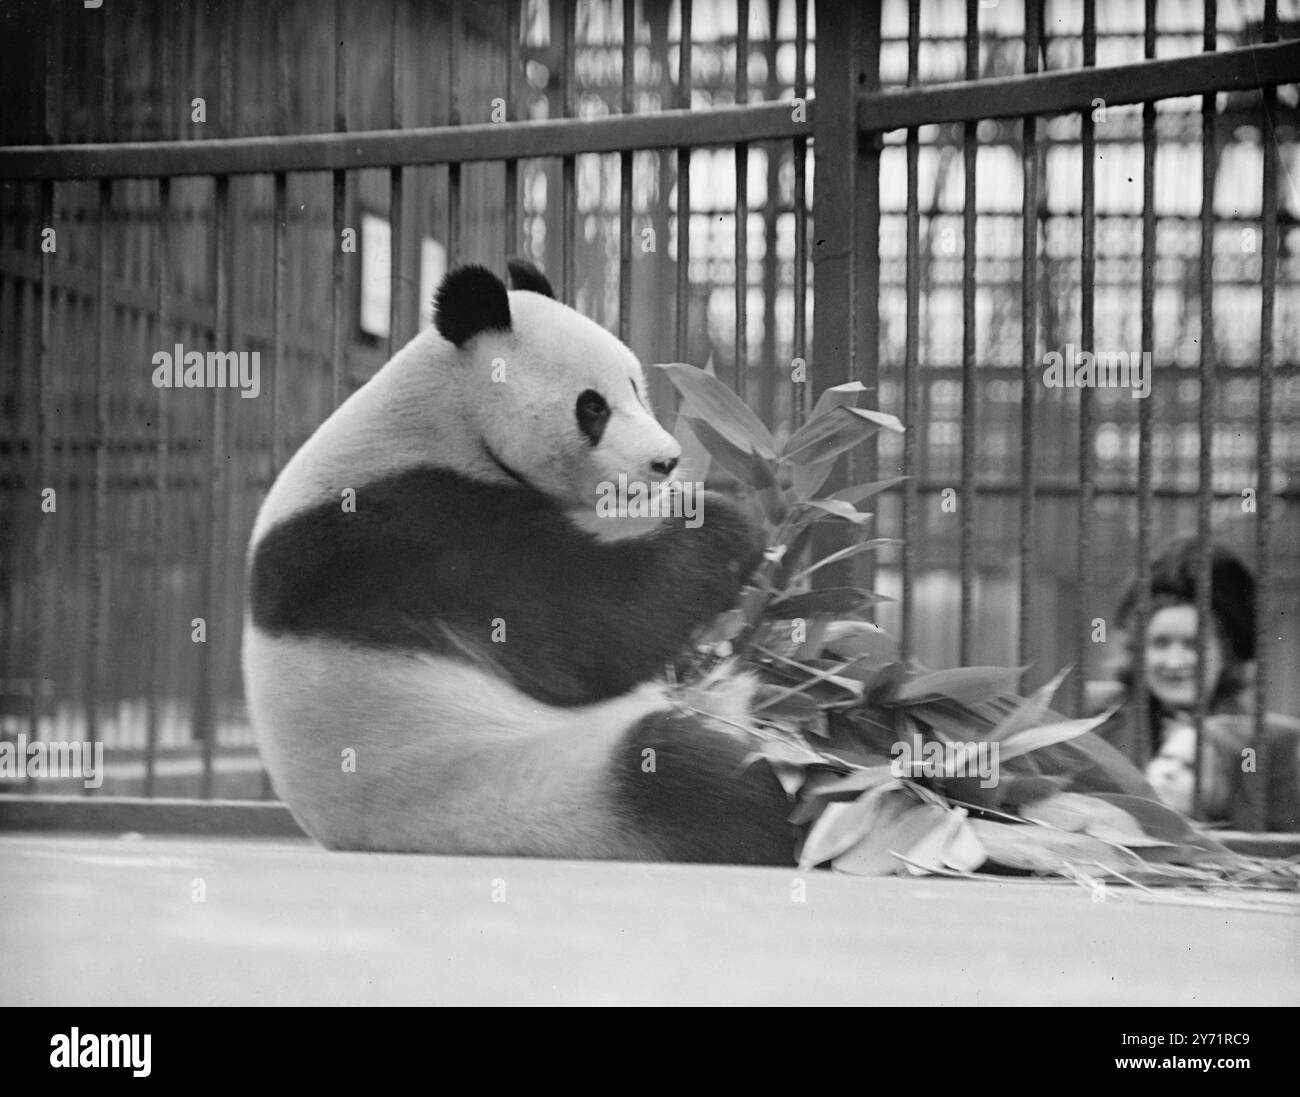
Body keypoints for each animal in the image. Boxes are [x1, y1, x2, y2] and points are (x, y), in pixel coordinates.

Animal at [240, 261, 795, 863]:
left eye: (636, 389)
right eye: (592, 406)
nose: (666, 462)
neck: (443, 417)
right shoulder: (416, 532)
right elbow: (587, 628)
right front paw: (732, 521)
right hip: (541, 786)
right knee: (688, 777)